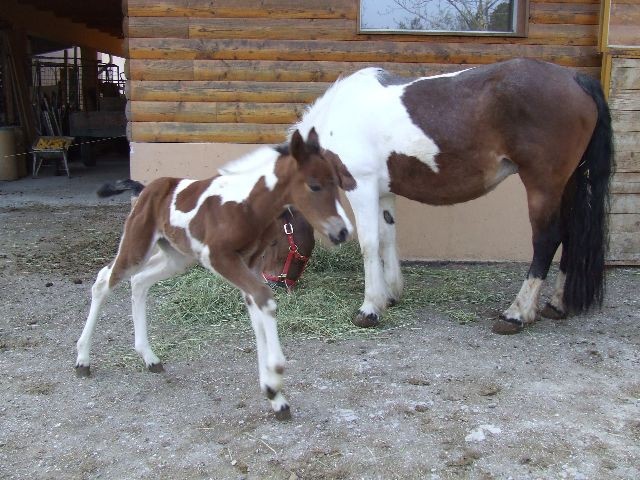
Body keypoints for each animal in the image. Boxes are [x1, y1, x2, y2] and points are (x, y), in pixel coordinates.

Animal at [77, 129, 356, 418]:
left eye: (335, 183)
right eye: (314, 185)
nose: (342, 231)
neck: (248, 205)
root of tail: (146, 189)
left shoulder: (248, 264)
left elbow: (257, 309)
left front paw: (274, 395)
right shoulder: (220, 257)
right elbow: (265, 299)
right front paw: (276, 374)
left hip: (177, 257)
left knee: (139, 281)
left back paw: (149, 358)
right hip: (137, 246)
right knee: (104, 281)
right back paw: (83, 360)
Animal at [296, 59, 616, 334]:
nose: (284, 285)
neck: (340, 111)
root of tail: (575, 78)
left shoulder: (360, 186)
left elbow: (369, 243)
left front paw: (370, 308)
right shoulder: (384, 192)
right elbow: (387, 237)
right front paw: (391, 294)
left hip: (543, 185)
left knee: (547, 240)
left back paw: (517, 314)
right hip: (569, 184)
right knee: (571, 235)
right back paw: (556, 305)